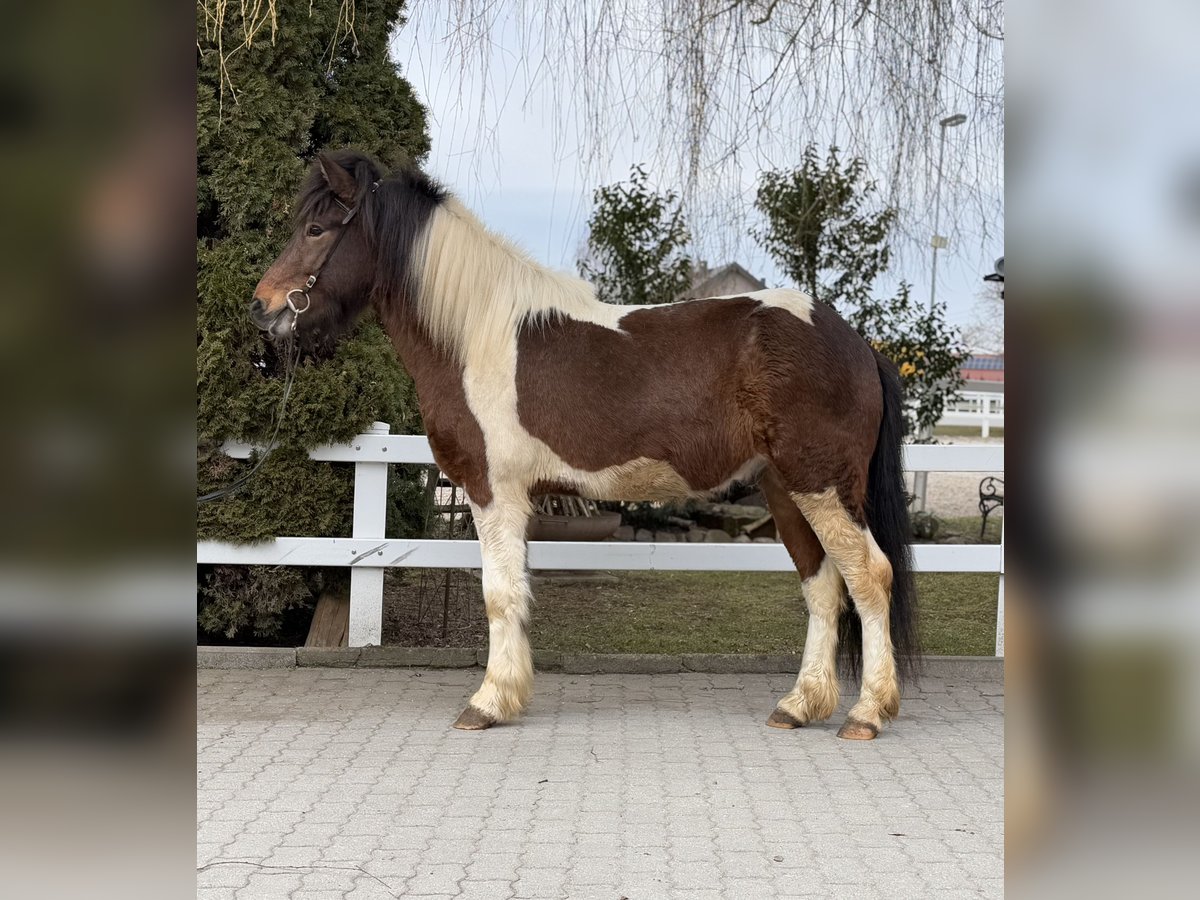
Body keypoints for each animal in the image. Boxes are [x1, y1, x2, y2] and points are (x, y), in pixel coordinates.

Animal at [248, 148, 912, 739]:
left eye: (315, 228)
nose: (261, 309)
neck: (475, 333)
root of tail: (856, 343)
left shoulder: (492, 492)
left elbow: (498, 594)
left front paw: (487, 703)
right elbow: (516, 592)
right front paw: (508, 694)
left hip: (820, 485)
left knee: (869, 576)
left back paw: (866, 713)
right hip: (785, 488)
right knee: (823, 585)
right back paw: (799, 705)